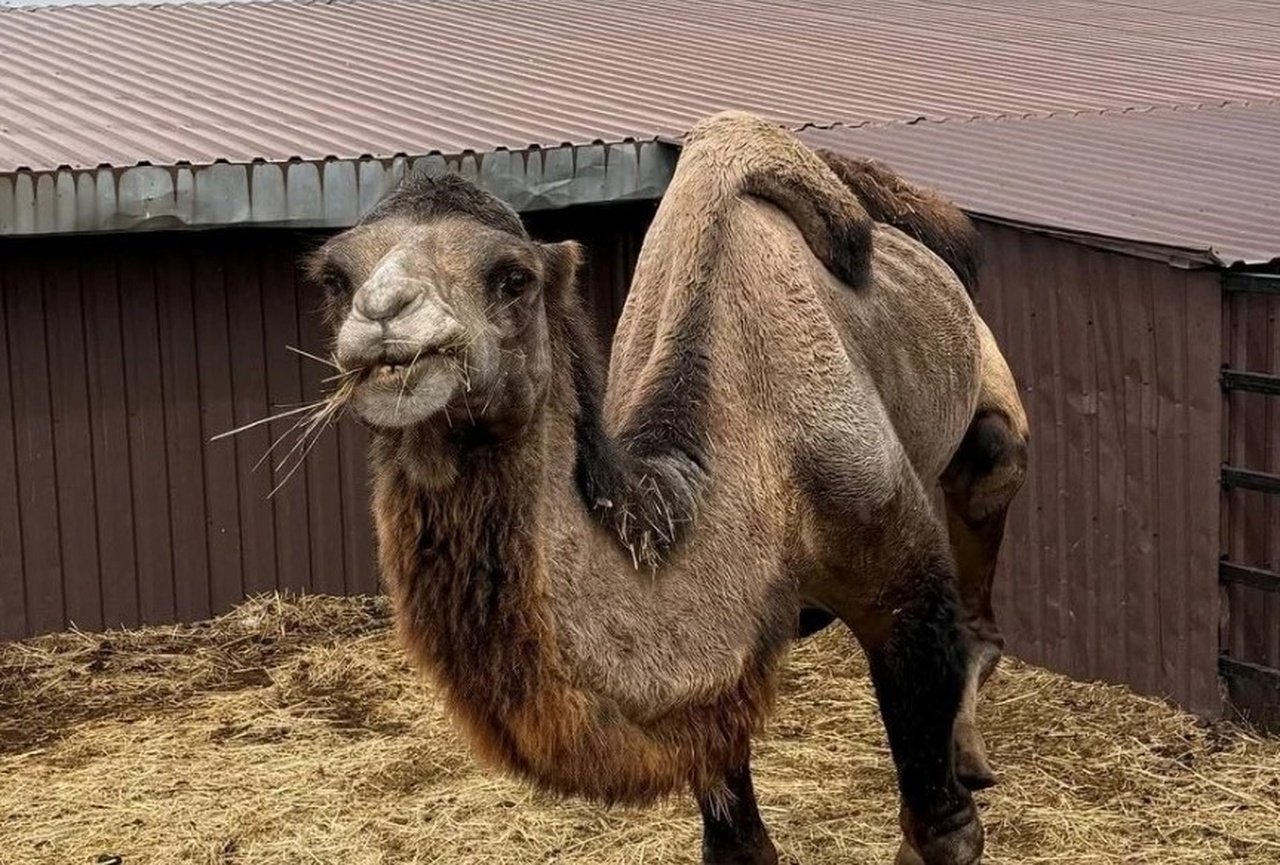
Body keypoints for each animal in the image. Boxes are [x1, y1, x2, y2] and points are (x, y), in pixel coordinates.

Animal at [304, 110, 1028, 865]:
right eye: (334, 280)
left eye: (513, 279)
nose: (385, 321)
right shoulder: (714, 685)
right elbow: (737, 844)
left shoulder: (896, 565)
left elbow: (945, 834)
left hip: (988, 414)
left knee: (986, 514)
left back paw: (970, 754)